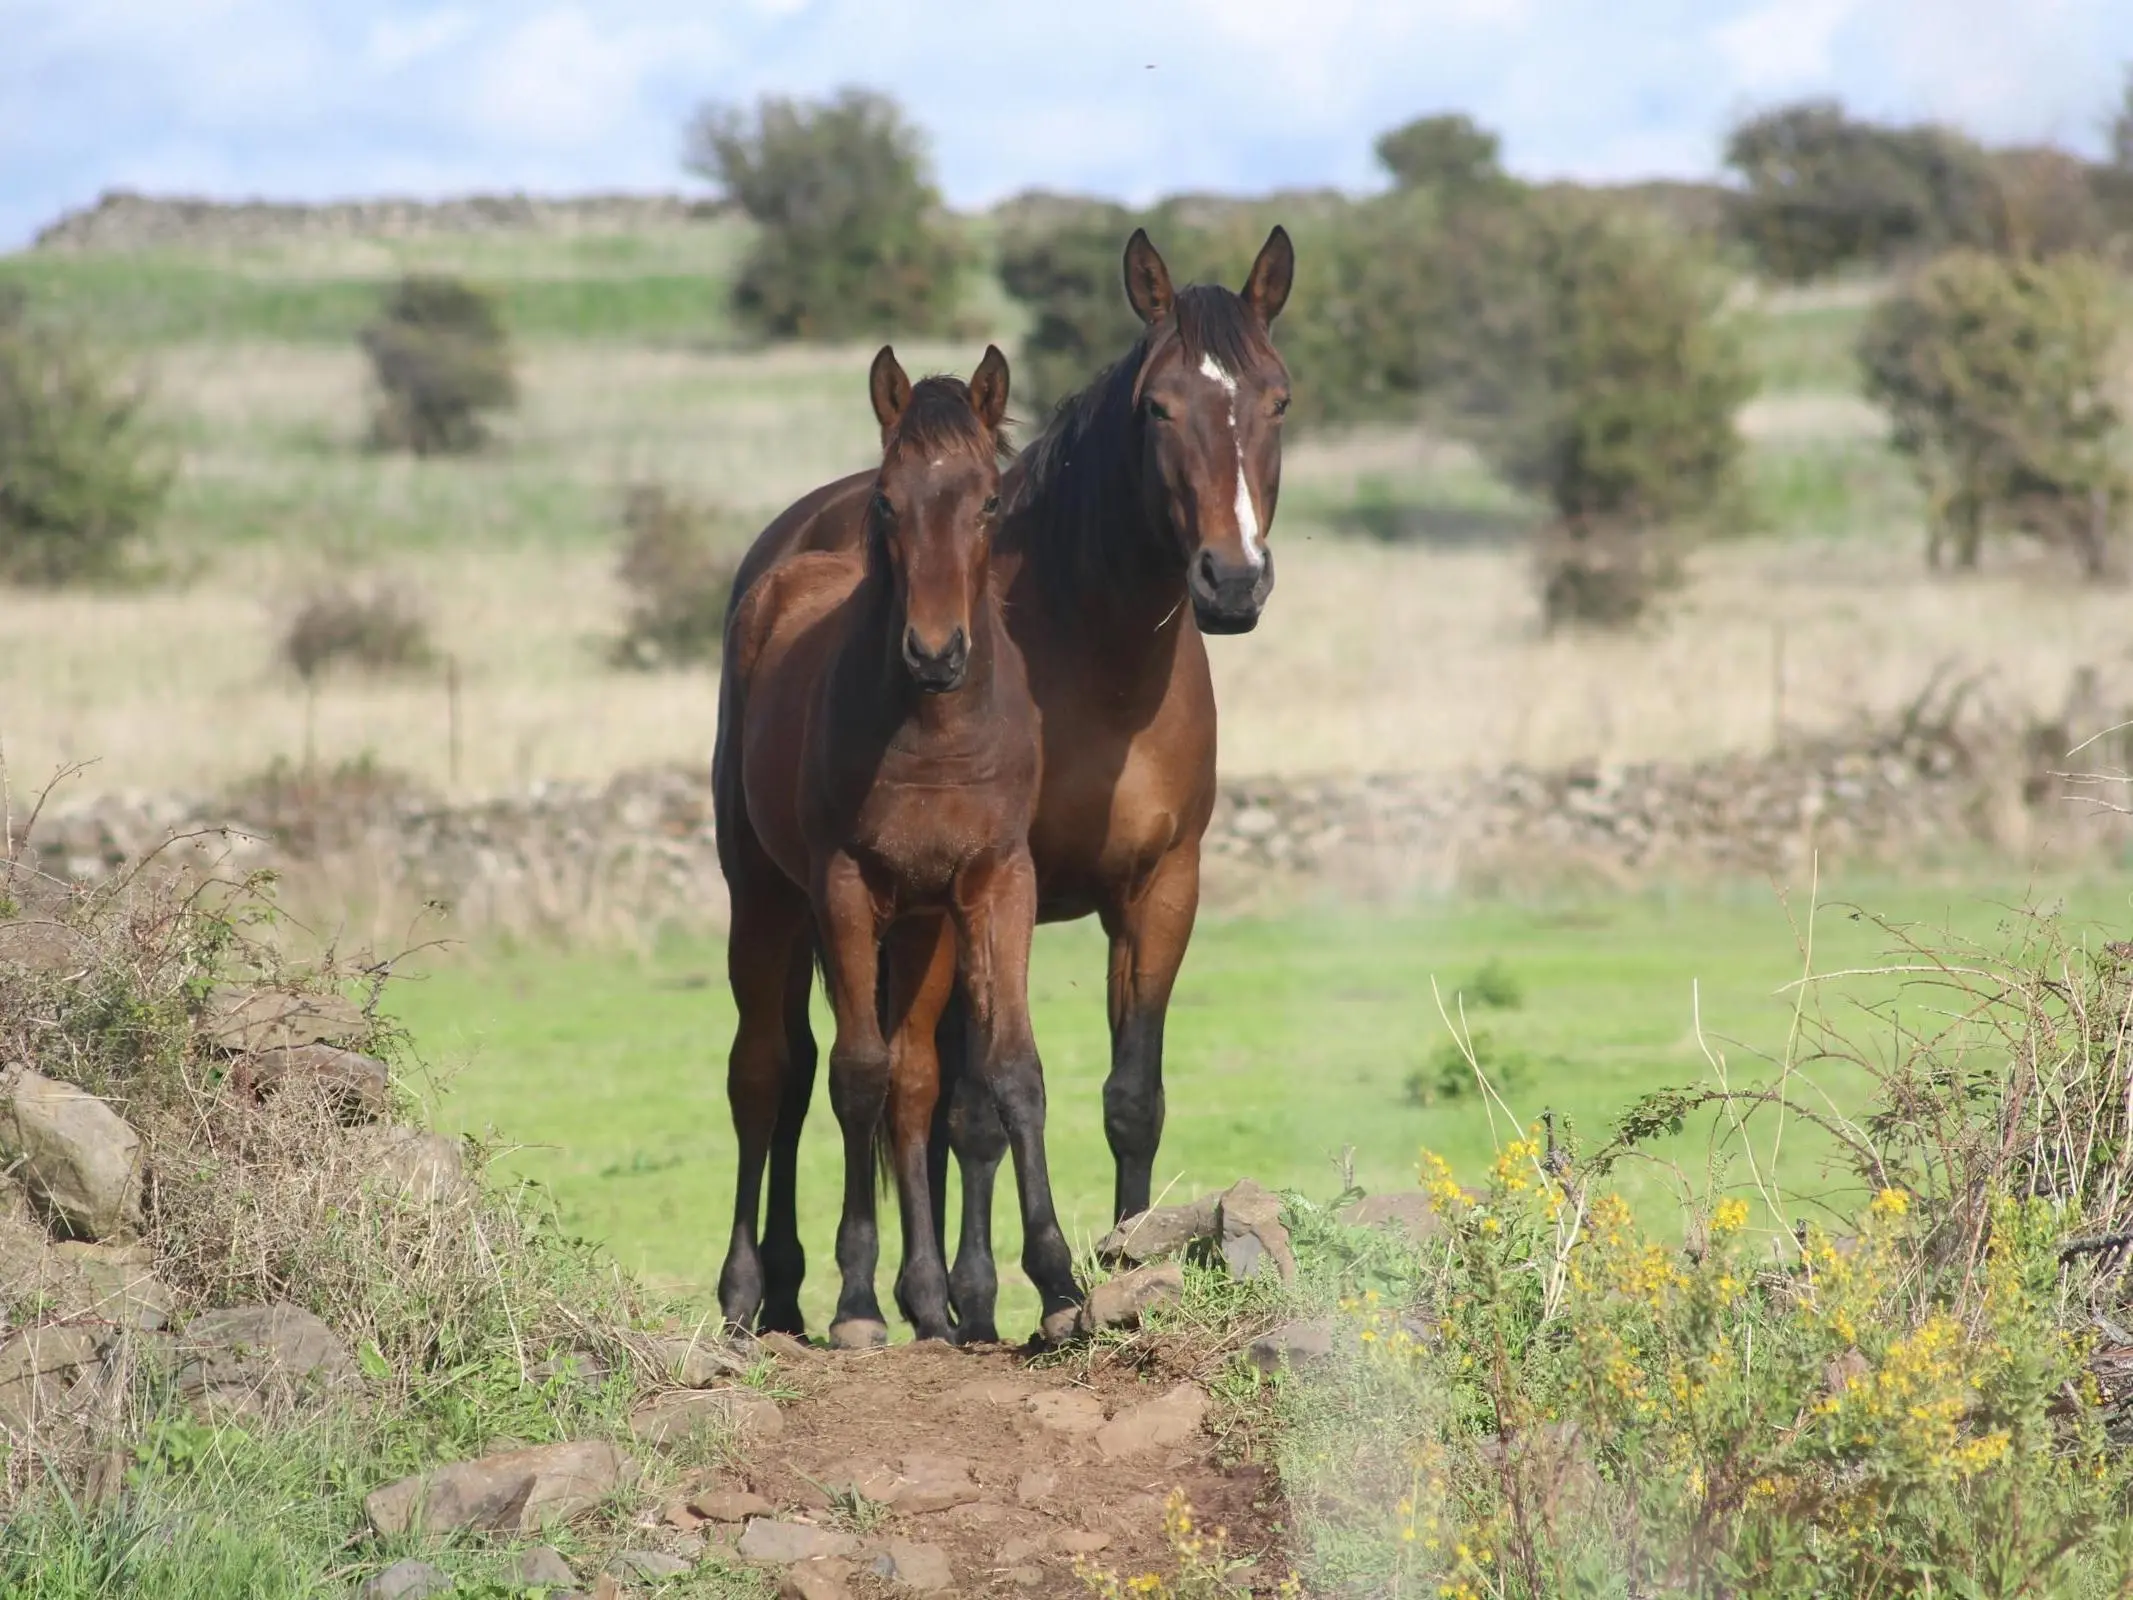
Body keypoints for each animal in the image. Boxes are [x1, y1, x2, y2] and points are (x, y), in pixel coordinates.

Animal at [716, 228, 1288, 1339]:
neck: (1097, 656)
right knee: (780, 1070)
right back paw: (775, 1290)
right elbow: (969, 1101)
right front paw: (990, 1295)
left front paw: (1123, 1262)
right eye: (1159, 407)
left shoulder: (1158, 887)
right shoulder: (978, 882)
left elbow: (1129, 1096)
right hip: (771, 894)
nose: (1232, 580)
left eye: (1277, 399)